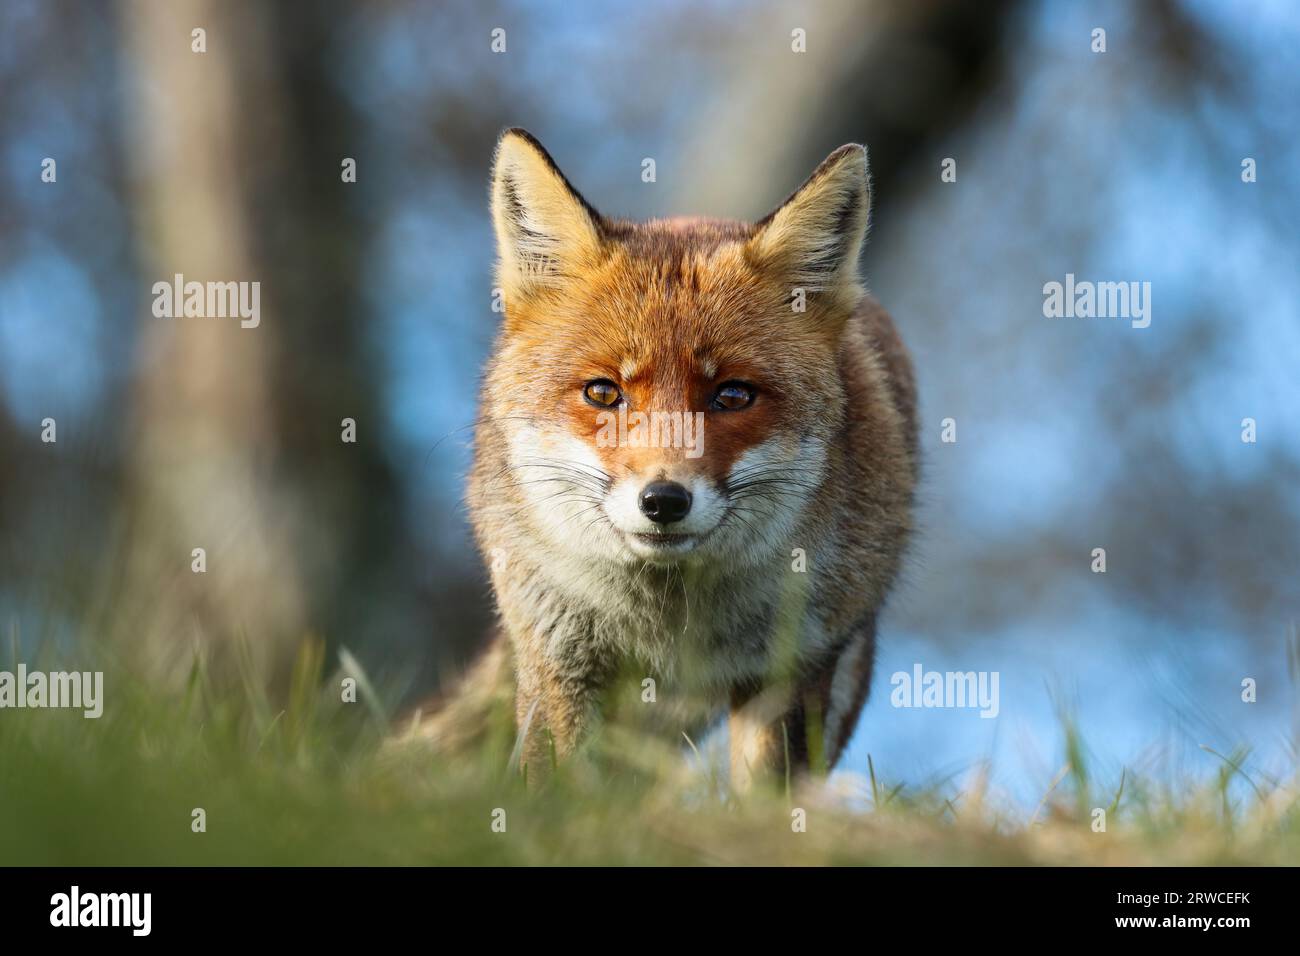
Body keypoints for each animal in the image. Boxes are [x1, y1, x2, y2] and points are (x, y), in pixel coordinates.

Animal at [402, 128, 917, 790]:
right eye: (603, 393)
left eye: (732, 395)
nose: (664, 501)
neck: (669, 621)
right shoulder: (560, 656)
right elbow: (557, 783)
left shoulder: (793, 666)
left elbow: (767, 796)